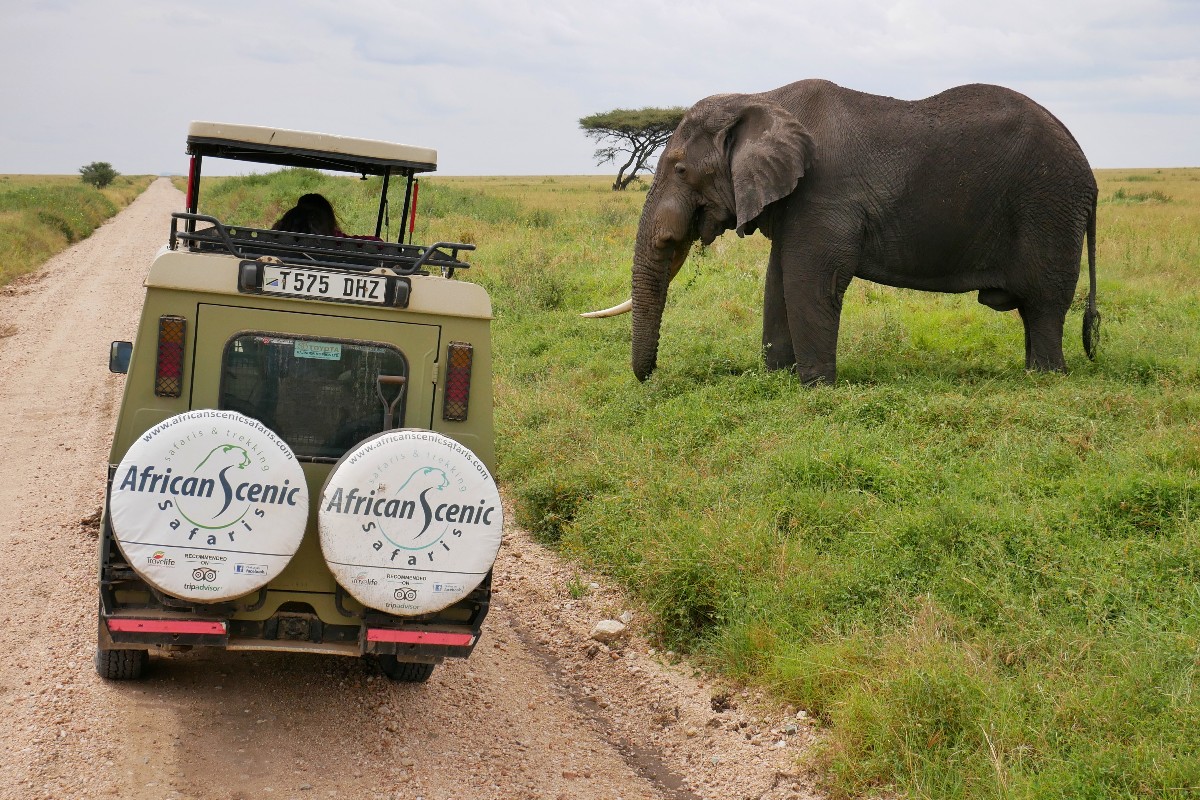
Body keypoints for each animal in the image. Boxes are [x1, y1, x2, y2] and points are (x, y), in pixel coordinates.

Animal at [585, 79, 1099, 386]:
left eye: (680, 169)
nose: (650, 378)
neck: (763, 99)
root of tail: (1090, 174)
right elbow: (778, 281)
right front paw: (777, 377)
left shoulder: (823, 193)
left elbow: (812, 281)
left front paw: (814, 387)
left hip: (1049, 208)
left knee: (1044, 304)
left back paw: (1045, 379)